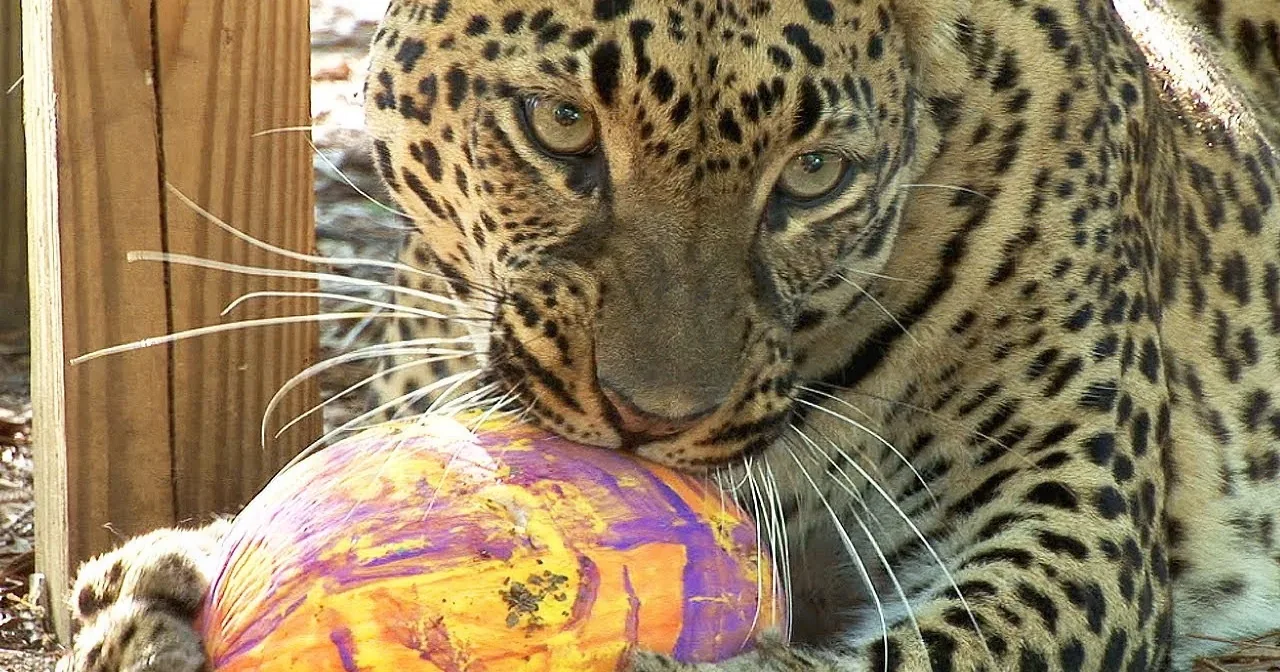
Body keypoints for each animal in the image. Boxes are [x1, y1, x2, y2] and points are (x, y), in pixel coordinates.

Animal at [56, 0, 1280, 670]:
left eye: (813, 176)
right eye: (558, 125)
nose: (648, 423)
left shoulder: (1071, 523)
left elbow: (931, 651)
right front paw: (164, 587)